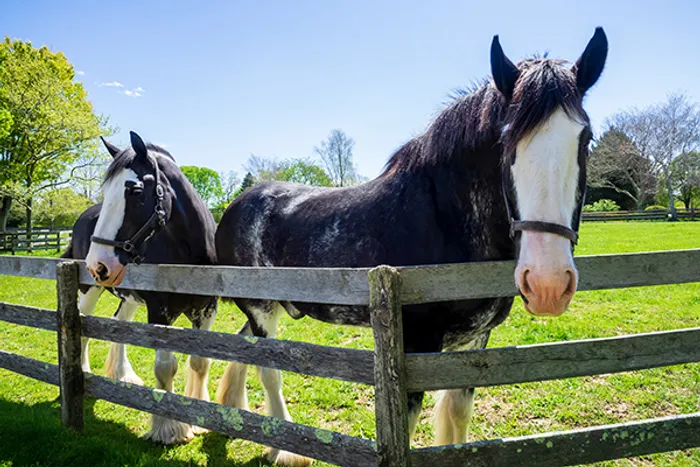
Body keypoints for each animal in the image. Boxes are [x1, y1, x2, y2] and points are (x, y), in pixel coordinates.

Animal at [66, 133, 220, 446]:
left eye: (134, 191)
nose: (98, 263)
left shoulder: (207, 310)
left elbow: (200, 362)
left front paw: (198, 417)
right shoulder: (160, 313)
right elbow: (165, 367)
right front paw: (168, 430)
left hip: (129, 298)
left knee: (119, 324)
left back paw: (123, 375)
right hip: (89, 290)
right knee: (84, 325)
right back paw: (85, 373)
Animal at [215, 29, 608, 467]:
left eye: (586, 138)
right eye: (506, 140)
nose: (547, 284)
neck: (446, 219)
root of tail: (236, 206)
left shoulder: (476, 340)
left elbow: (458, 410)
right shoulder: (415, 345)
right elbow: (409, 420)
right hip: (261, 309)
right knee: (270, 370)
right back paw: (283, 449)